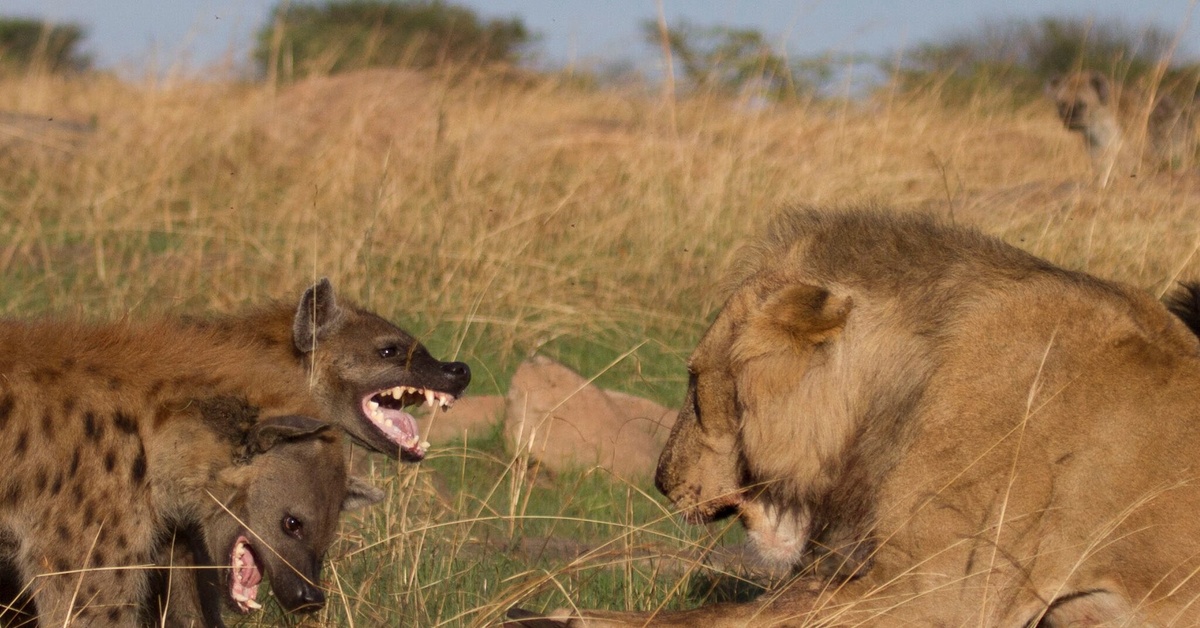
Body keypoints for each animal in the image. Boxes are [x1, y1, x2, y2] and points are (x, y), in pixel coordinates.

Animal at [1046, 70, 1195, 187]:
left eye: (1082, 104)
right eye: (1062, 104)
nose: (1069, 119)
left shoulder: (1131, 150)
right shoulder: (1097, 150)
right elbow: (1103, 170)